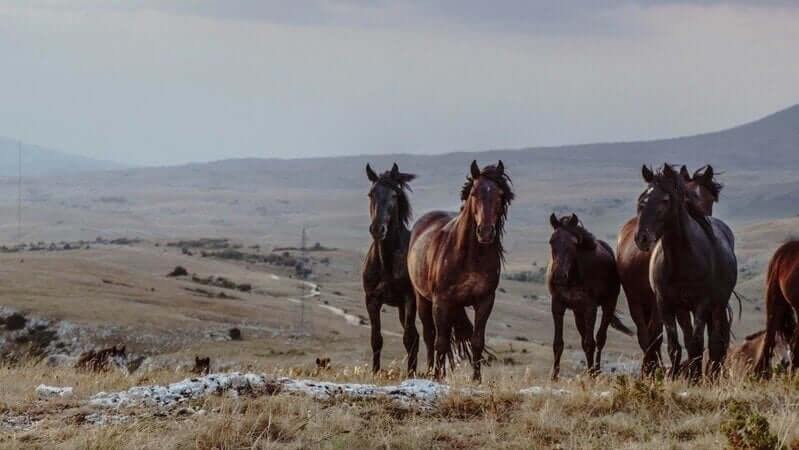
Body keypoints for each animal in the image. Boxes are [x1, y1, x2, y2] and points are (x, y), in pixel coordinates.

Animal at [362, 163, 420, 375]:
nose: (378, 229)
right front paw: (375, 372)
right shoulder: (372, 300)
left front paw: (411, 375)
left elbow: (408, 338)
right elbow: (376, 339)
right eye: (371, 194)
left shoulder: (410, 299)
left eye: (394, 195)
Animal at [408, 160, 513, 382]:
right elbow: (440, 341)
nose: (486, 232)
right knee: (430, 335)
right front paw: (437, 377)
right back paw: (430, 370)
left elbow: (477, 341)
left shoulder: (485, 301)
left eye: (500, 194)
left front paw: (476, 379)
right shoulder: (441, 301)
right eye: (473, 192)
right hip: (423, 299)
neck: (469, 256)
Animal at [547, 213, 633, 380]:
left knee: (600, 339)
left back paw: (597, 371)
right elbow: (558, 343)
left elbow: (590, 343)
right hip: (577, 312)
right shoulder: (558, 306)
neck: (573, 276)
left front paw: (592, 376)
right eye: (552, 241)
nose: (559, 276)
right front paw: (554, 377)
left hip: (608, 305)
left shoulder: (590, 308)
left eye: (574, 244)